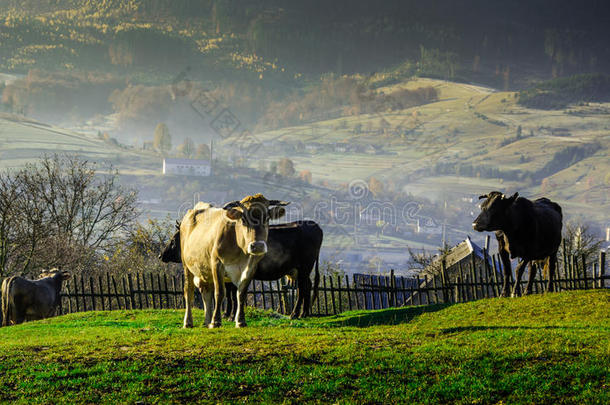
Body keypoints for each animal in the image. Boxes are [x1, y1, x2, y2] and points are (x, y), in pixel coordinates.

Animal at [160, 219, 324, 318]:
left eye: (174, 239)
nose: (161, 255)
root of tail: (312, 224)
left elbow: (231, 295)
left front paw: (230, 314)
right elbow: (230, 295)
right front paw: (228, 314)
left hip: (304, 267)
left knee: (302, 289)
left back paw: (296, 314)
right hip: (299, 270)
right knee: (306, 287)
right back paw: (305, 313)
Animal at [178, 193, 288, 328]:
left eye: (267, 218)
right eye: (244, 219)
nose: (257, 246)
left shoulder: (251, 268)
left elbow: (241, 295)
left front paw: (240, 321)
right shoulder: (217, 264)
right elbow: (220, 293)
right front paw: (216, 321)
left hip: (204, 269)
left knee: (206, 292)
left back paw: (207, 321)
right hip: (186, 265)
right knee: (189, 291)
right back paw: (188, 322)